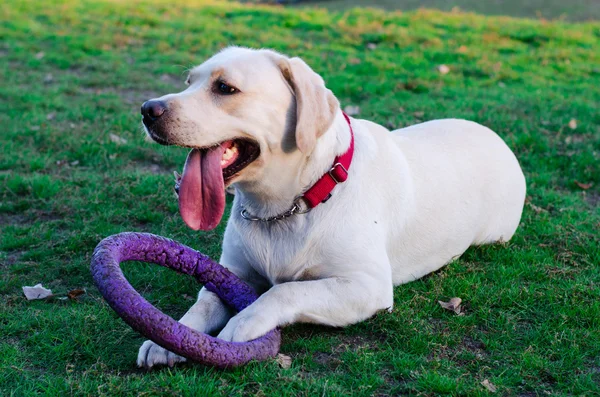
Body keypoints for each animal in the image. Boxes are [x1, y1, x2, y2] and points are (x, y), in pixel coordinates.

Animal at [137, 47, 524, 368]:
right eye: (189, 82)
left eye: (225, 88)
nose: (147, 110)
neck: (287, 206)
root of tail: (495, 136)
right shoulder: (232, 271)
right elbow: (204, 301)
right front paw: (170, 336)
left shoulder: (367, 286)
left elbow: (285, 290)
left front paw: (243, 322)